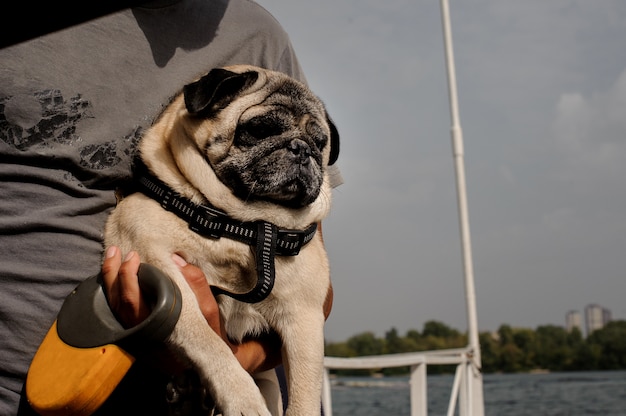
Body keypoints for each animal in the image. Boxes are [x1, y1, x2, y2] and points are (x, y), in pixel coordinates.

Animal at [103, 66, 336, 416]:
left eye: (320, 143)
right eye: (259, 129)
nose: (302, 148)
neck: (241, 225)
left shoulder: (304, 318)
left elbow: (304, 394)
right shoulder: (162, 269)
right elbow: (208, 341)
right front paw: (242, 399)